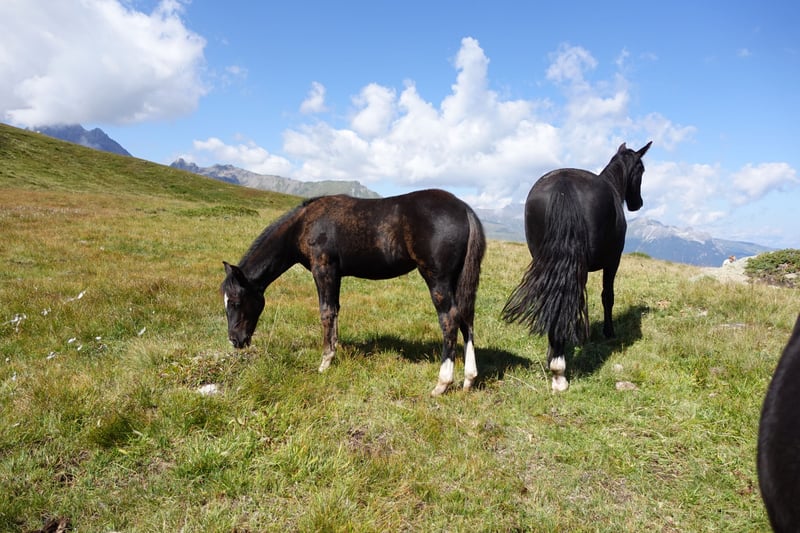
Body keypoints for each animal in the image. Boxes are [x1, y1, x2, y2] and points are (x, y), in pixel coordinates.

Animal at [221, 189, 486, 396]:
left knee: (449, 319)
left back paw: (442, 383)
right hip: (458, 279)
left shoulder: (323, 268)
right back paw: (469, 379)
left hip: (437, 278)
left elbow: (326, 312)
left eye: (235, 302)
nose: (235, 340)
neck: (303, 224)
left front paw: (325, 362)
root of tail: (464, 208)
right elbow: (335, 310)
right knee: (466, 318)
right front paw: (333, 351)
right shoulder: (336, 274)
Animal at [502, 141, 652, 392]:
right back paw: (559, 368)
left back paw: (554, 357)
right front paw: (609, 332)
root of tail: (563, 186)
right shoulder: (613, 261)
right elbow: (607, 296)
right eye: (641, 170)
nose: (638, 203)